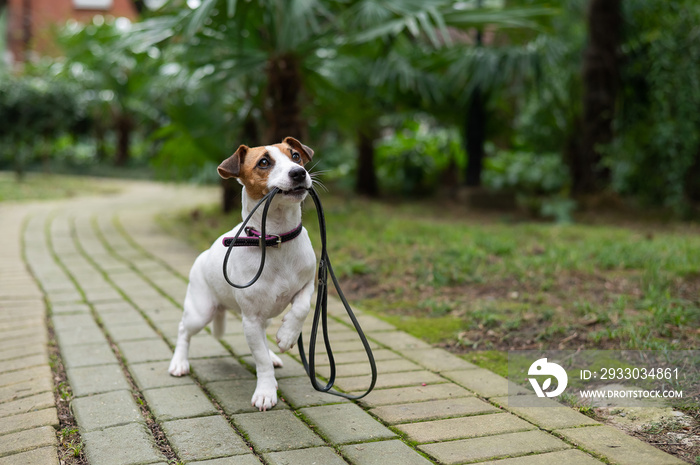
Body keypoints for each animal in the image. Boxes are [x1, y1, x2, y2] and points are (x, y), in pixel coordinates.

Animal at [168, 137, 316, 410]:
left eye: (296, 156)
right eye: (264, 162)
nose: (299, 173)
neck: (276, 239)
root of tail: (203, 254)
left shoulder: (308, 283)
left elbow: (302, 308)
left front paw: (287, 335)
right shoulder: (251, 319)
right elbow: (261, 362)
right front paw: (266, 391)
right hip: (200, 312)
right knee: (184, 330)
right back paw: (179, 362)